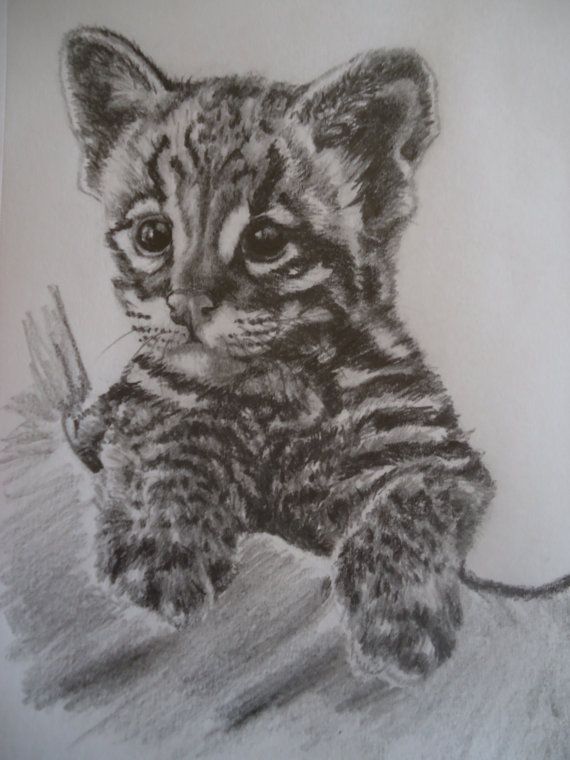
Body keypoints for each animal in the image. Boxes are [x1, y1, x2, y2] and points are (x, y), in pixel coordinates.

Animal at [61, 26, 494, 682]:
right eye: (152, 236)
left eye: (266, 240)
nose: (186, 305)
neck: (279, 382)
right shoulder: (128, 408)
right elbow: (180, 435)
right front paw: (166, 538)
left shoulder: (441, 456)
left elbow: (413, 498)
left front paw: (400, 612)